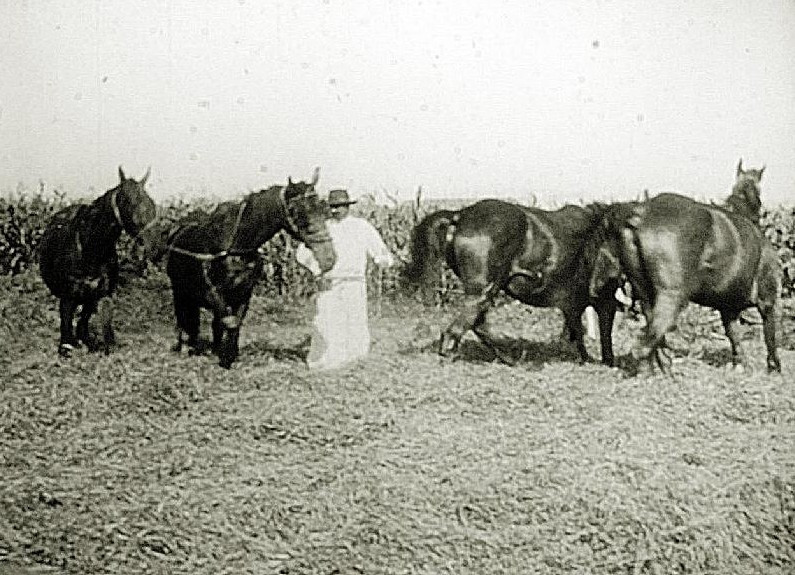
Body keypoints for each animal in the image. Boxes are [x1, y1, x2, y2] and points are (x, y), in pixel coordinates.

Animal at [39, 165, 158, 356]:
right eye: (129, 202)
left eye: (151, 202)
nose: (153, 244)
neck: (90, 249)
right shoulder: (68, 297)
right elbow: (66, 325)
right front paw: (68, 346)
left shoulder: (103, 295)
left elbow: (100, 326)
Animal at [163, 168, 334, 368]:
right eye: (297, 211)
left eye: (322, 207)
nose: (329, 258)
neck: (237, 246)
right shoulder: (213, 292)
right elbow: (230, 322)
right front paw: (226, 357)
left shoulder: (244, 293)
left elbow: (235, 321)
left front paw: (229, 353)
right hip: (179, 290)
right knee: (183, 317)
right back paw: (185, 346)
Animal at [408, 200, 624, 366]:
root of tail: (460, 215)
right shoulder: (601, 300)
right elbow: (600, 332)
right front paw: (604, 362)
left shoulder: (576, 303)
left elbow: (575, 330)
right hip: (484, 289)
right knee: (462, 327)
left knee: (476, 323)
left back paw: (508, 358)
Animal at [604, 160, 784, 374]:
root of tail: (642, 214)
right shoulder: (767, 302)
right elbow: (770, 335)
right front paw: (774, 367)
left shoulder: (728, 308)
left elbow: (734, 336)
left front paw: (739, 364)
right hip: (672, 296)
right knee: (645, 342)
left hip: (645, 294)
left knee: (653, 334)